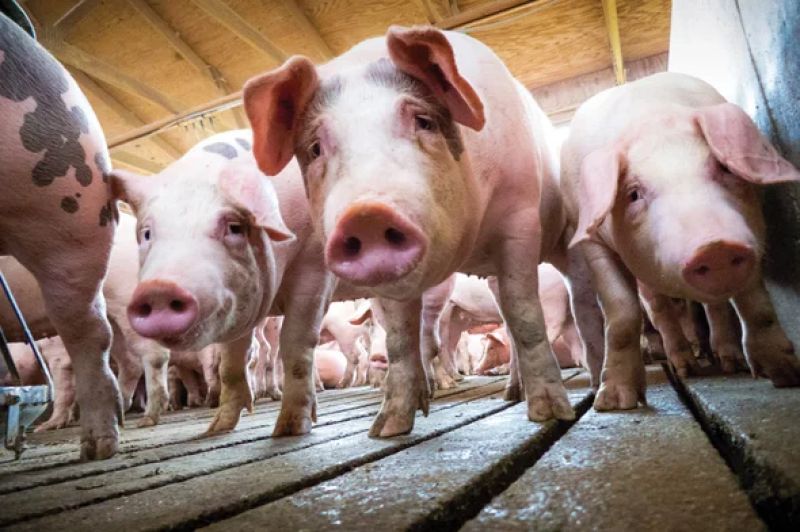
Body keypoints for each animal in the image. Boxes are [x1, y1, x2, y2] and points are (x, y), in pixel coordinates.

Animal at [562, 72, 800, 410]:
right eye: (633, 194)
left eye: (723, 167)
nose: (715, 247)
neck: (649, 118)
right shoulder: (592, 243)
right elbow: (622, 312)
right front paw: (614, 403)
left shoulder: (753, 223)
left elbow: (754, 298)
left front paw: (786, 375)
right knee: (660, 309)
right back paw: (686, 369)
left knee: (715, 306)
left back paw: (731, 364)